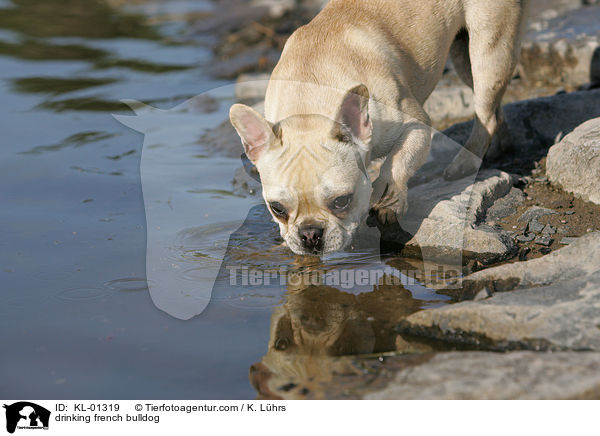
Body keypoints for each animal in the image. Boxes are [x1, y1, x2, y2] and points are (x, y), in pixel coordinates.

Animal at [231, 0, 528, 255]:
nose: (310, 234)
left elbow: (397, 161)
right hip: (462, 55)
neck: (307, 105)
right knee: (493, 108)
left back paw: (466, 161)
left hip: (488, 49)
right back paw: (502, 144)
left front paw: (388, 197)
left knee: (485, 111)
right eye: (277, 208)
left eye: (342, 201)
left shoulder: (416, 125)